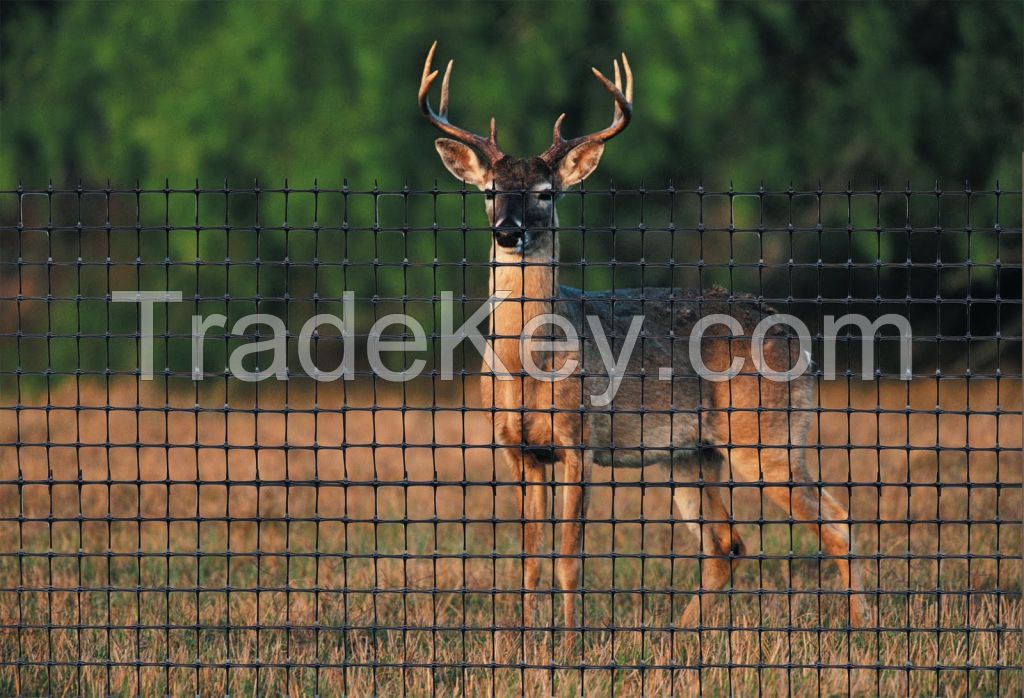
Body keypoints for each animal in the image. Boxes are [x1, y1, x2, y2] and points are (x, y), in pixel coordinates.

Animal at [417, 43, 872, 630]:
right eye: (491, 191)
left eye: (546, 193)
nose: (508, 232)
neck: (527, 363)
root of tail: (802, 341)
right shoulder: (517, 450)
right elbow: (530, 562)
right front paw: (524, 639)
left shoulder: (579, 440)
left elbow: (568, 559)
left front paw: (569, 642)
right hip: (690, 454)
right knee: (727, 544)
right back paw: (679, 636)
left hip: (767, 438)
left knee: (836, 522)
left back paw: (861, 628)